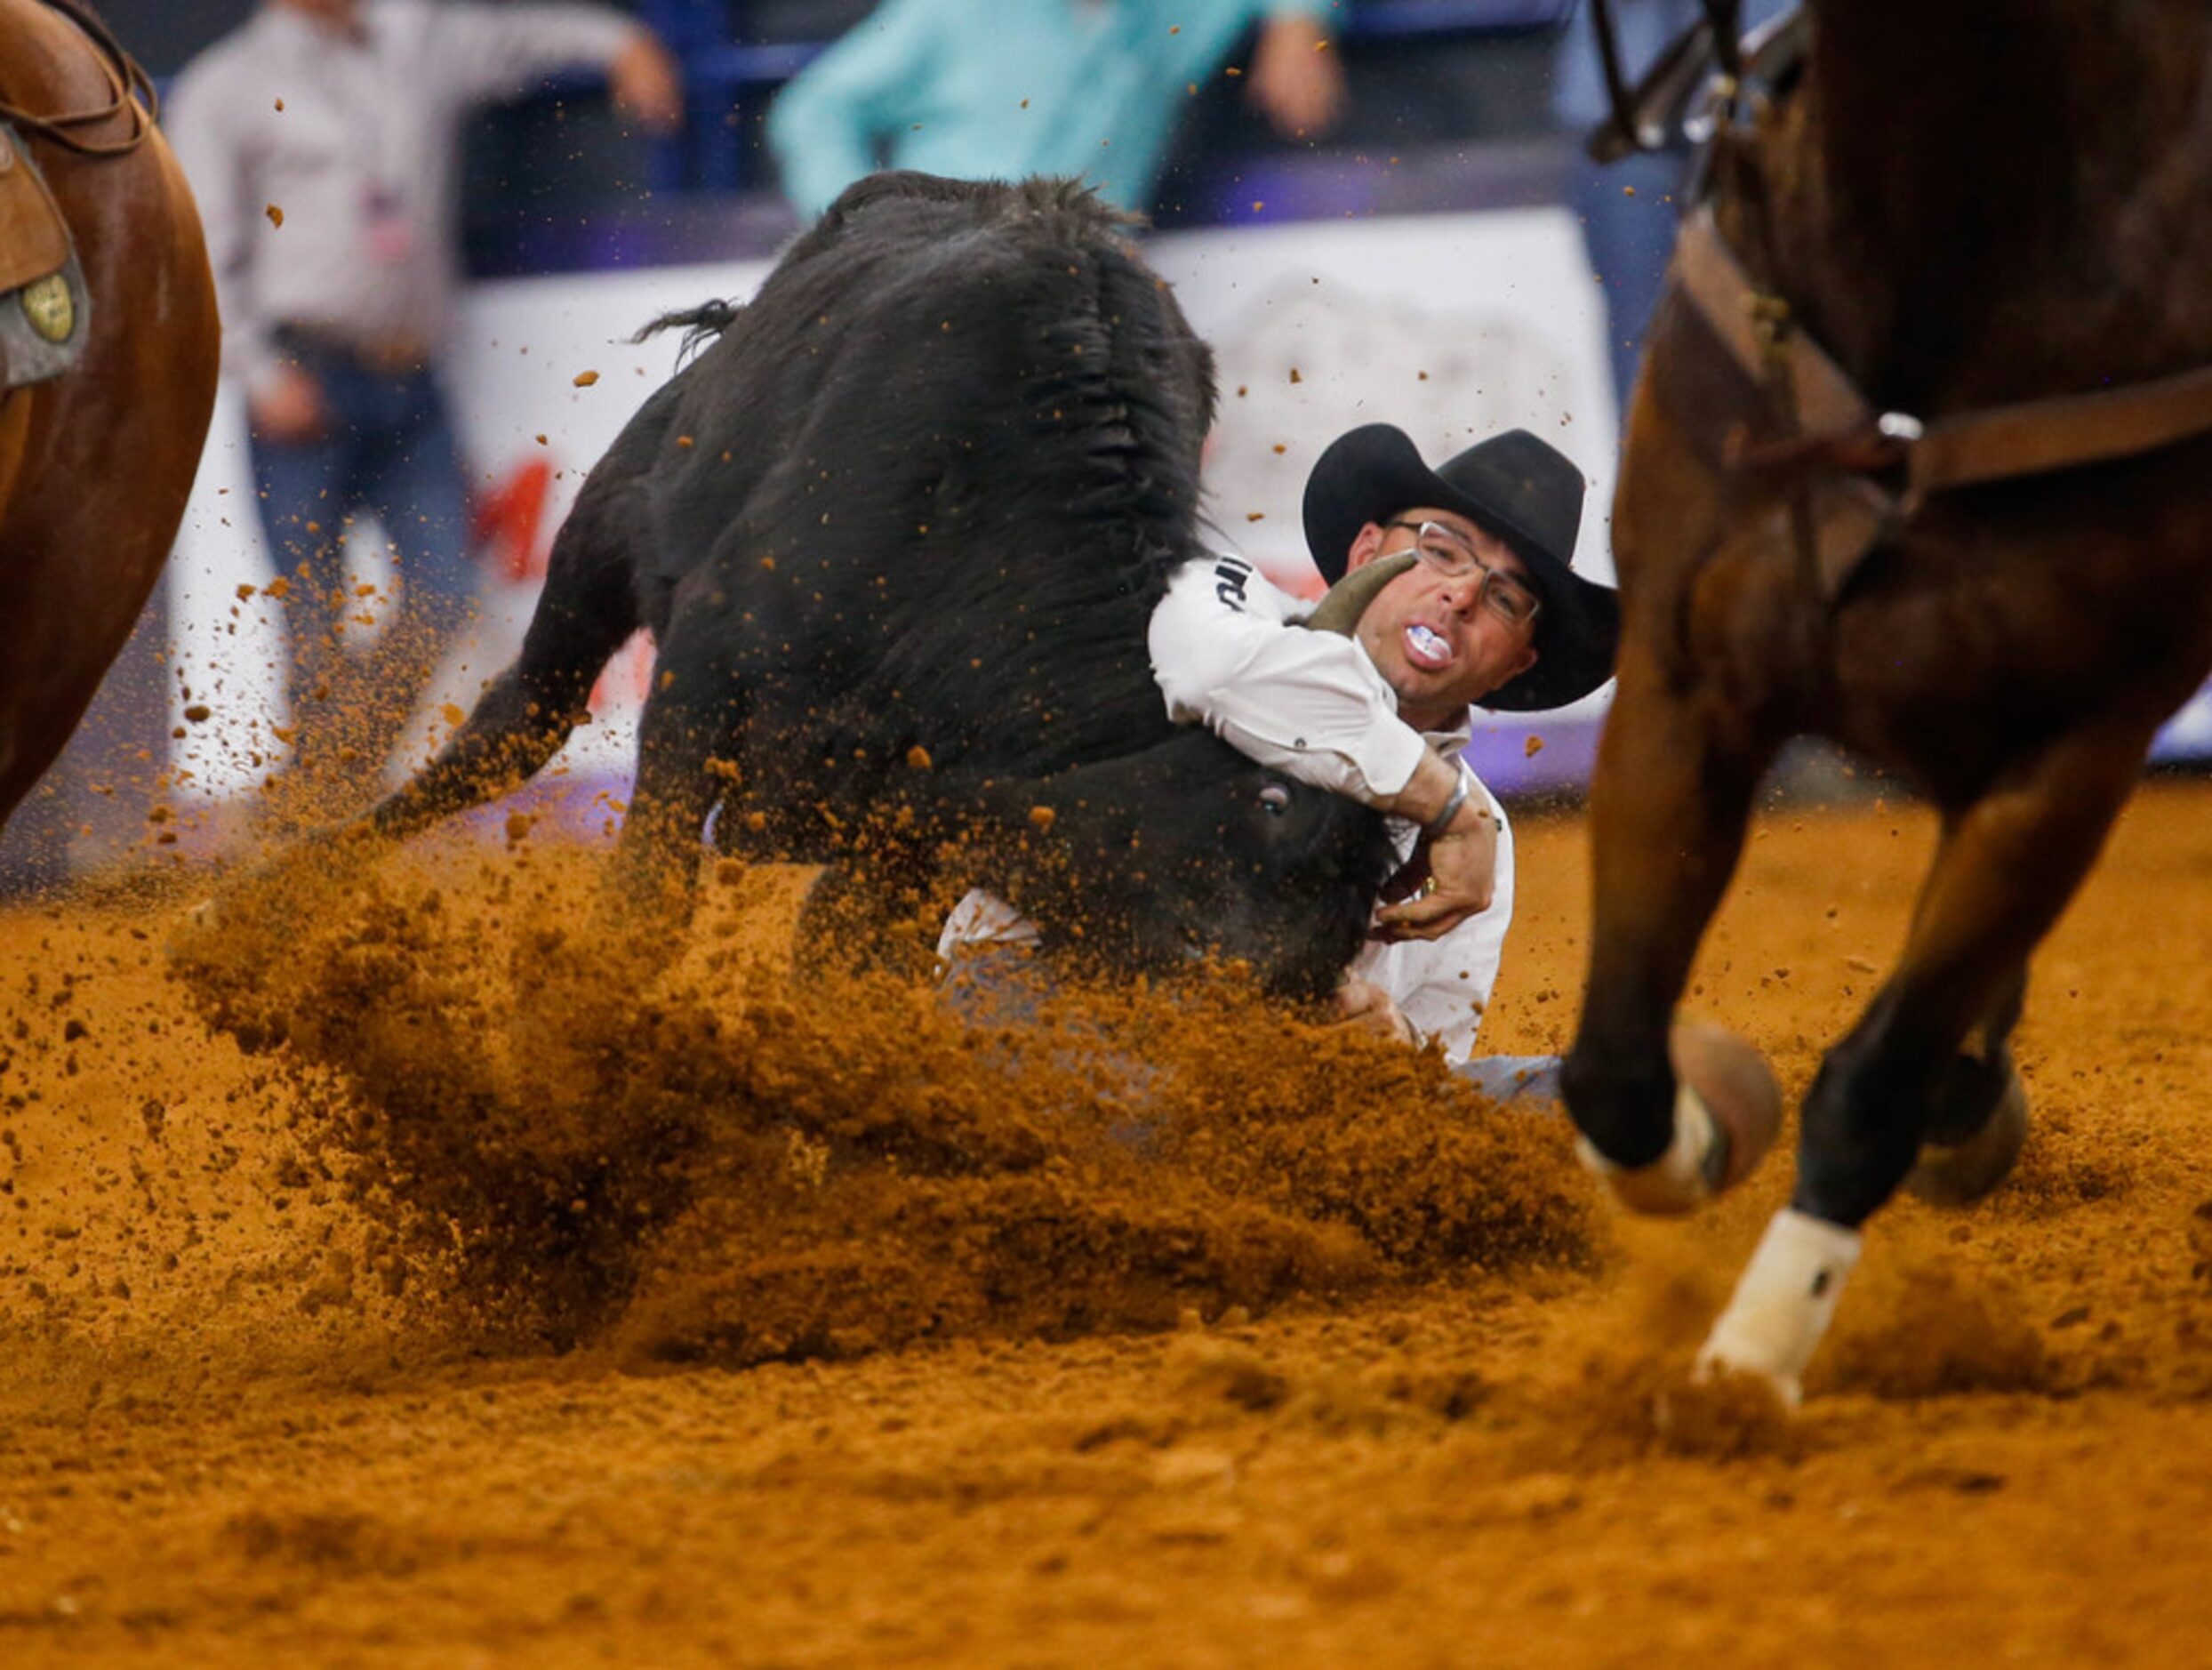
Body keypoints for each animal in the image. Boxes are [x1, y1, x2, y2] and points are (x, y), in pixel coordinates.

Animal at [1566, 0, 2212, 1398]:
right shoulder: (1680, 688)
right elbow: (1615, 1072)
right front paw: (1704, 1129)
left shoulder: (2066, 757)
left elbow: (1873, 1085)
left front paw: (1749, 1366)